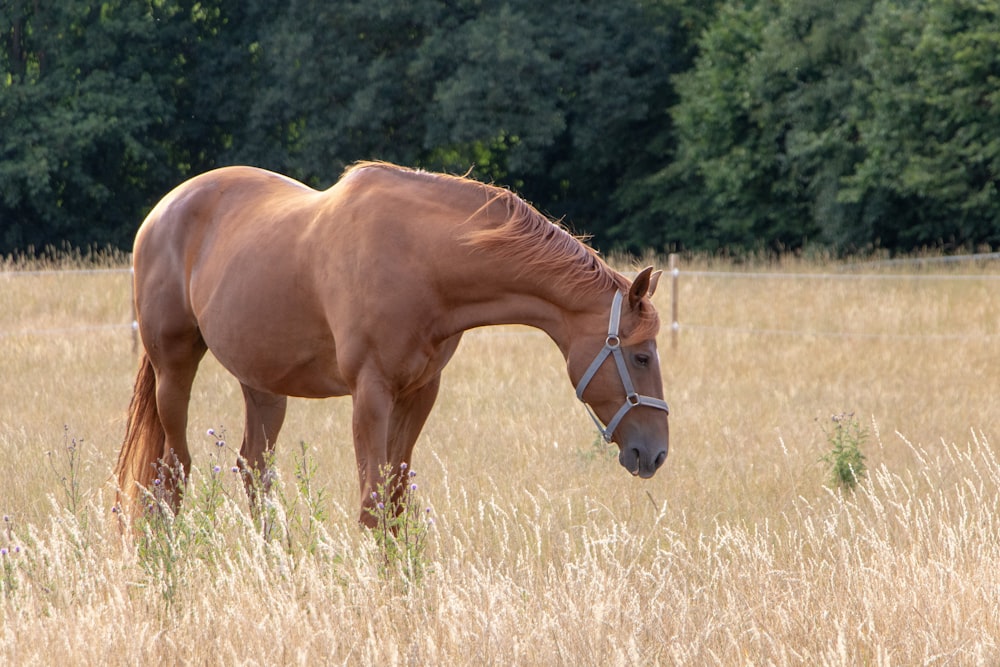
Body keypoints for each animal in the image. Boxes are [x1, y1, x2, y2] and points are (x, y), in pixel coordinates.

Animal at [113, 162, 668, 528]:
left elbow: (397, 502)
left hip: (263, 385)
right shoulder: (371, 394)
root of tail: (161, 212)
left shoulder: (419, 393)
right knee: (174, 473)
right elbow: (371, 505)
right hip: (174, 369)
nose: (656, 453)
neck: (422, 260)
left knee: (253, 473)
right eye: (641, 356)